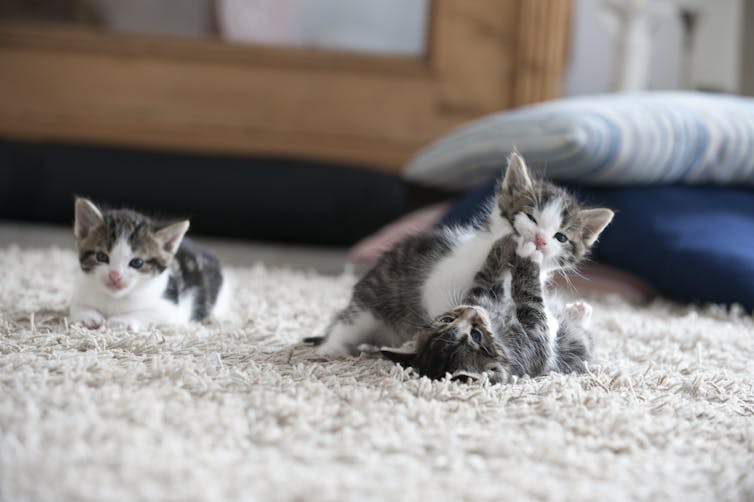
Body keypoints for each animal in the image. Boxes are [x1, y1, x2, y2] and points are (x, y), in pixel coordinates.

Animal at [68, 198, 226, 332]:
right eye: (101, 257)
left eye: (137, 262)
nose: (115, 275)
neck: (114, 298)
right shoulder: (81, 288)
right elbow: (75, 305)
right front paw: (87, 315)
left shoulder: (174, 309)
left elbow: (150, 313)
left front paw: (121, 321)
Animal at [306, 153, 612, 360]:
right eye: (530, 217)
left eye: (560, 237)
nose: (539, 240)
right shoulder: (440, 281)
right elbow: (450, 305)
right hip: (370, 305)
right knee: (346, 325)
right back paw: (330, 349)